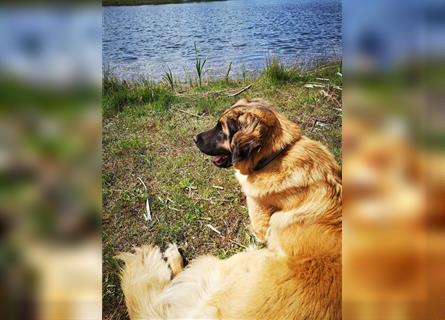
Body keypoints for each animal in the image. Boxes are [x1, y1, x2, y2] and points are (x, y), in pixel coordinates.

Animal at [117, 99, 340, 318]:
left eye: (221, 130)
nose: (194, 138)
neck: (280, 154)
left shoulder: (260, 224)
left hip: (233, 264)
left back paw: (172, 257)